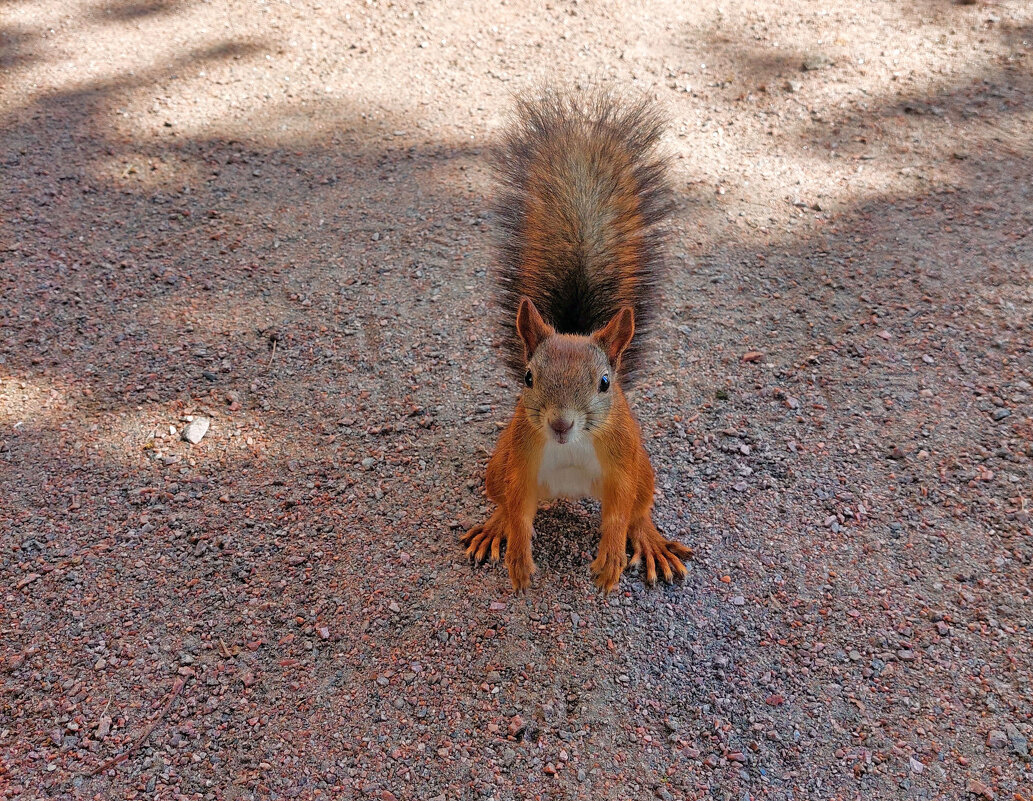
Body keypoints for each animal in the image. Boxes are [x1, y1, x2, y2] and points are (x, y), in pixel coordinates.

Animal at [462, 92, 690, 595]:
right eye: (528, 378)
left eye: (606, 383)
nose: (561, 424)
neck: (570, 448)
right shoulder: (520, 462)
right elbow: (518, 508)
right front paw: (518, 556)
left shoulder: (623, 466)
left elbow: (620, 512)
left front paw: (610, 560)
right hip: (497, 464)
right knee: (503, 502)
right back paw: (494, 527)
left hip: (645, 470)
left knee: (640, 510)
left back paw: (650, 542)